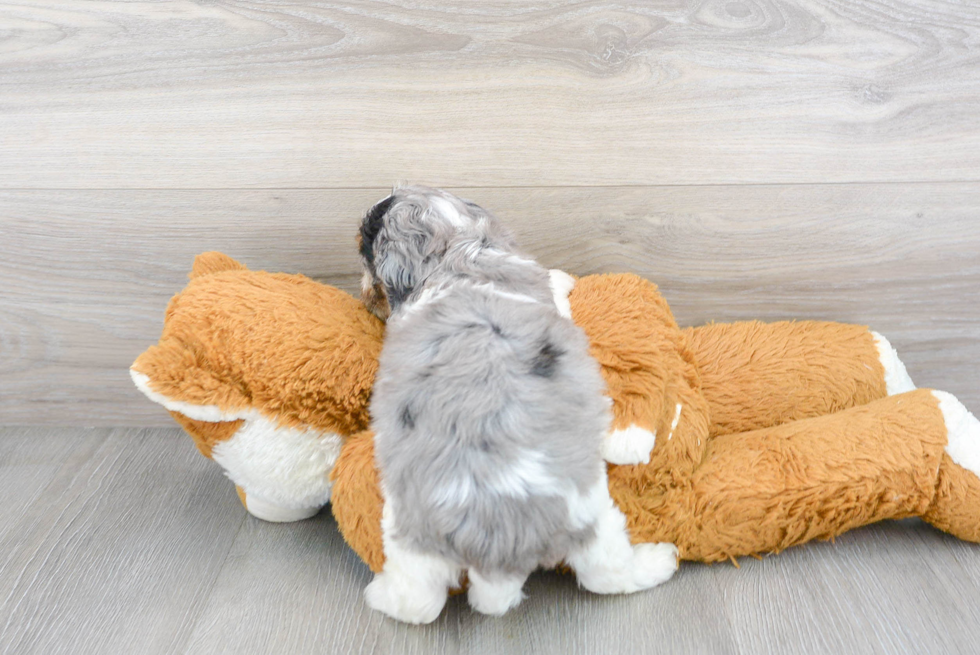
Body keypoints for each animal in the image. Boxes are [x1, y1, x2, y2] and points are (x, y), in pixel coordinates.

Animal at [356, 186, 676, 624]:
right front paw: (564, 277)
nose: (363, 288)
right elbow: (556, 288)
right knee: (606, 573)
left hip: (411, 535)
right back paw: (660, 560)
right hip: (591, 512)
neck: (453, 256)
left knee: (418, 601)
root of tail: (494, 541)